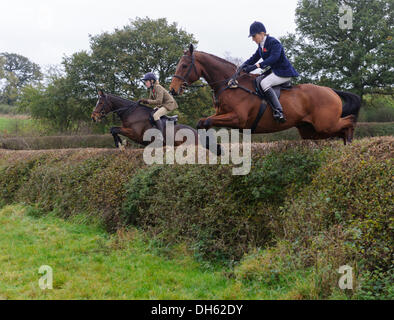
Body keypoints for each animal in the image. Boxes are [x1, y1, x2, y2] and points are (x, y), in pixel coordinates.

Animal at [169, 44, 360, 144]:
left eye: (184, 66)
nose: (172, 89)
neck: (230, 84)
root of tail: (331, 91)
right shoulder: (221, 115)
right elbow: (202, 122)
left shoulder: (238, 118)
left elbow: (206, 121)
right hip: (310, 130)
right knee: (339, 130)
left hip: (324, 124)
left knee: (349, 121)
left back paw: (350, 142)